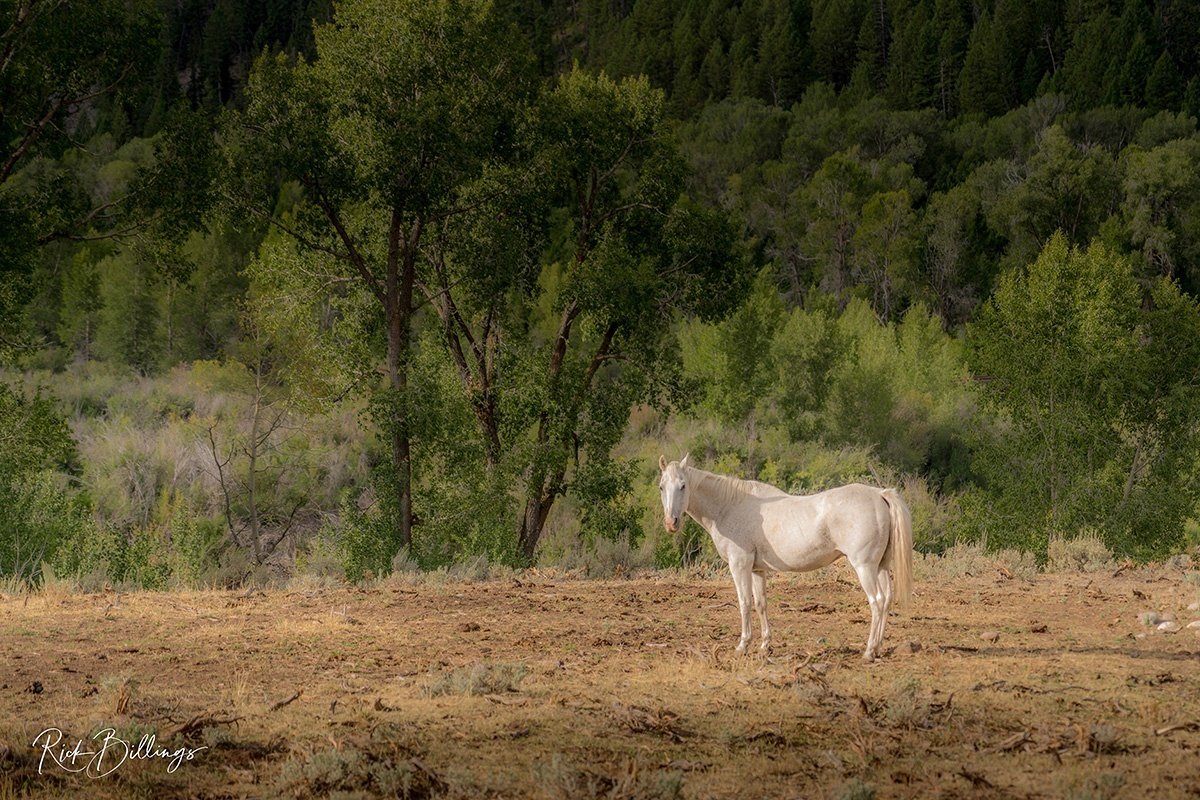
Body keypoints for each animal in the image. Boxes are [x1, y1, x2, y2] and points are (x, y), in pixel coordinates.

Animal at [658, 454, 913, 662]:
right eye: (661, 487)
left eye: (683, 485)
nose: (671, 523)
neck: (730, 506)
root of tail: (879, 494)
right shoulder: (757, 570)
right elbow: (760, 604)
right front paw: (764, 645)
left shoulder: (739, 565)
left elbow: (744, 603)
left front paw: (743, 645)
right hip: (881, 566)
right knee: (887, 599)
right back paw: (878, 648)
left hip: (864, 567)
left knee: (876, 601)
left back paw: (869, 652)